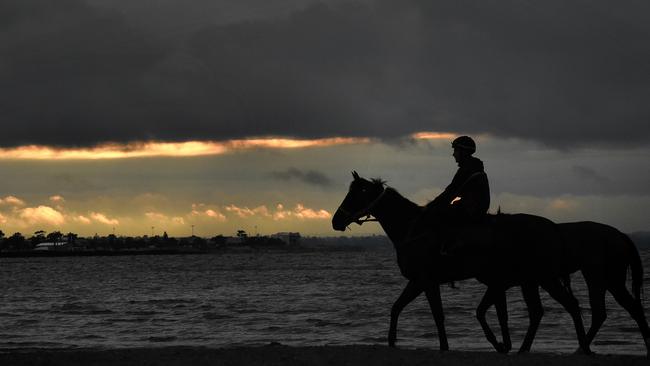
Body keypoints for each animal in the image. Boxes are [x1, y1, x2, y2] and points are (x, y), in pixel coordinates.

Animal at [332, 173, 588, 354]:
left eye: (357, 193)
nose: (336, 220)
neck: (413, 229)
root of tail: (552, 227)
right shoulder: (417, 281)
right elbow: (396, 307)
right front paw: (392, 341)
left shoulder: (427, 281)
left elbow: (438, 315)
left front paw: (444, 346)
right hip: (533, 281)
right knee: (543, 311)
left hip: (543, 278)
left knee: (568, 306)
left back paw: (580, 347)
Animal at [476, 222, 648, 356]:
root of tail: (620, 235)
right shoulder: (504, 285)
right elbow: (492, 312)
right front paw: (502, 345)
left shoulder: (500, 283)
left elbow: (492, 312)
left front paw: (502, 345)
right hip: (607, 281)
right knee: (614, 311)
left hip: (600, 278)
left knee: (609, 311)